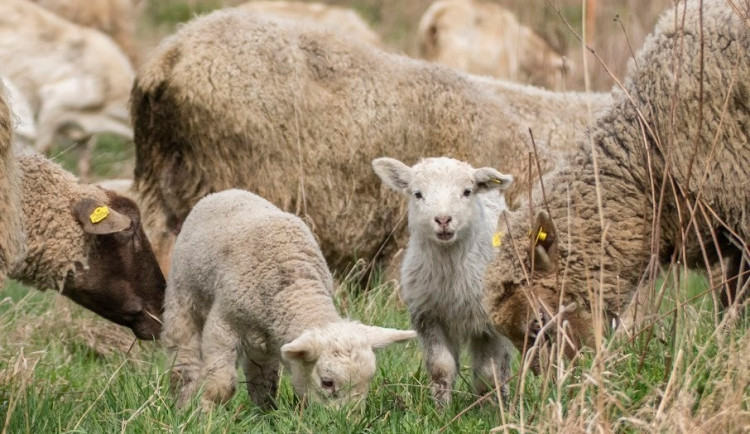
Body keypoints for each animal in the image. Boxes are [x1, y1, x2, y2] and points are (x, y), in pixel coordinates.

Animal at [162, 189, 418, 410]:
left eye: (368, 382)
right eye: (327, 383)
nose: (347, 422)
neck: (295, 286)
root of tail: (226, 192)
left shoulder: (268, 340)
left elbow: (265, 384)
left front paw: (266, 416)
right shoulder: (223, 324)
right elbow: (221, 384)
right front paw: (205, 414)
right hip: (183, 296)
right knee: (184, 356)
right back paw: (183, 402)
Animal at [374, 157, 516, 406]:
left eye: (467, 191)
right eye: (418, 194)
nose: (443, 220)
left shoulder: (487, 324)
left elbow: (488, 372)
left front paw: (488, 407)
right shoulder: (428, 316)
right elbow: (441, 368)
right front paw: (441, 407)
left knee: (503, 364)